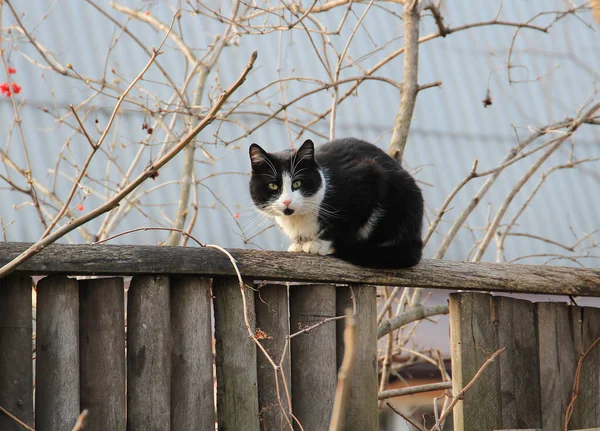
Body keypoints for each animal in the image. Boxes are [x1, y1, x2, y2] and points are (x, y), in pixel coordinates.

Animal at [247, 137, 422, 268]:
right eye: (273, 186)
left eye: (297, 183)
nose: (287, 201)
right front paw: (299, 244)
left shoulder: (366, 180)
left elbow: (345, 223)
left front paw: (319, 244)